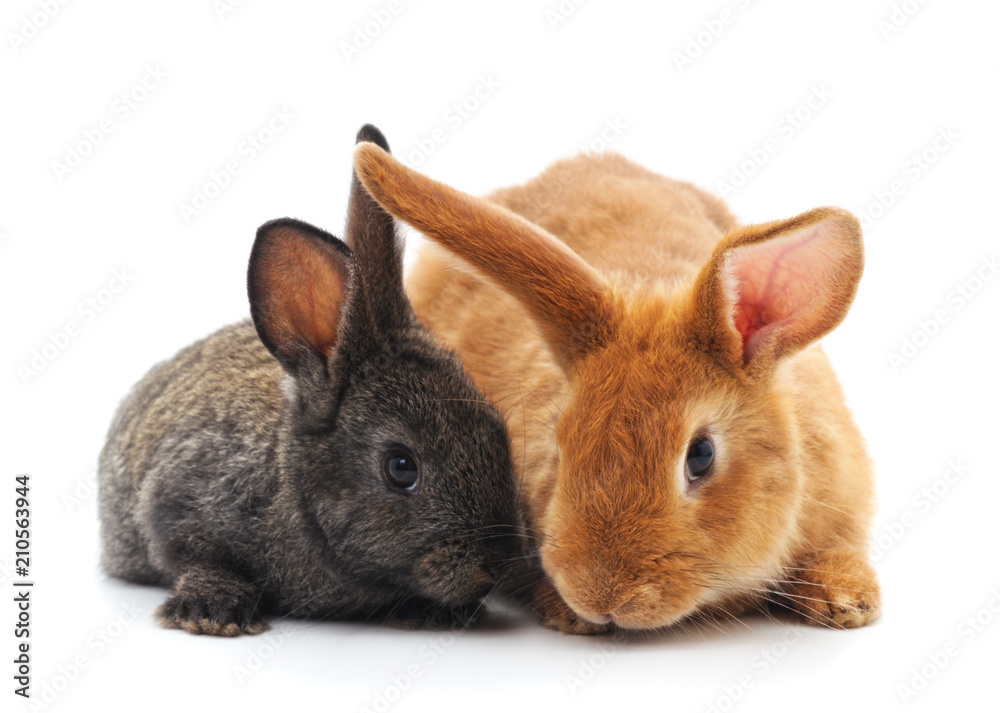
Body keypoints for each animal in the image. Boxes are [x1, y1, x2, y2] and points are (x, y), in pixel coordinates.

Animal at [97, 125, 520, 636]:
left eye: (496, 429)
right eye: (401, 468)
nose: (495, 566)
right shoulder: (175, 504)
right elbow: (190, 555)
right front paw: (213, 611)